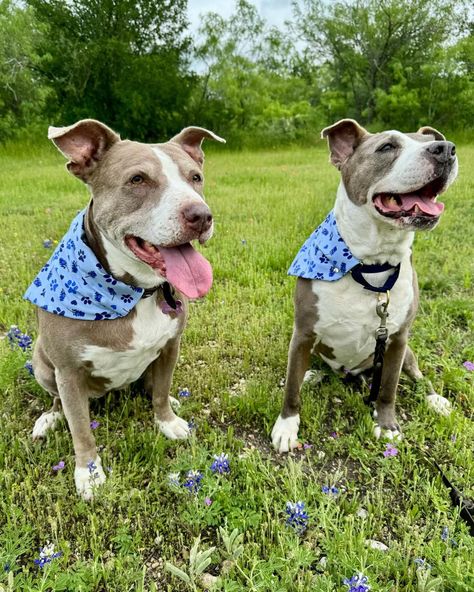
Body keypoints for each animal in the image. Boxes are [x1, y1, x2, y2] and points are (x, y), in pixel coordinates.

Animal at [25, 118, 225, 498]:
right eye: (137, 180)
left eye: (195, 177)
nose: (202, 215)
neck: (136, 292)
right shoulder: (68, 372)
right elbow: (80, 428)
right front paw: (88, 472)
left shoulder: (171, 346)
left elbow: (160, 393)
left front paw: (168, 421)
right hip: (42, 362)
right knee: (58, 401)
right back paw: (49, 418)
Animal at [272, 120, 458, 454]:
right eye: (387, 147)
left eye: (427, 140)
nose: (446, 149)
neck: (370, 263)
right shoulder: (303, 333)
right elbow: (291, 386)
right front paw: (287, 426)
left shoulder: (397, 339)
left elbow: (388, 389)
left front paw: (386, 424)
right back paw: (311, 374)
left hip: (408, 353)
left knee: (418, 376)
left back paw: (434, 398)